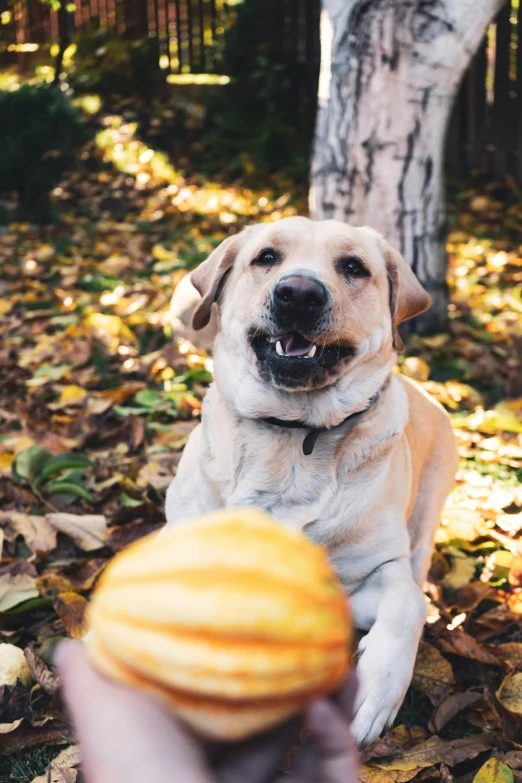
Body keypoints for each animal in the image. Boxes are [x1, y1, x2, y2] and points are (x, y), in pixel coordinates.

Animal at [164, 219, 456, 748]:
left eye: (353, 267)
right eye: (266, 257)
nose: (298, 294)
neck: (294, 431)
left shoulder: (368, 581)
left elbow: (408, 603)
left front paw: (375, 691)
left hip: (427, 513)